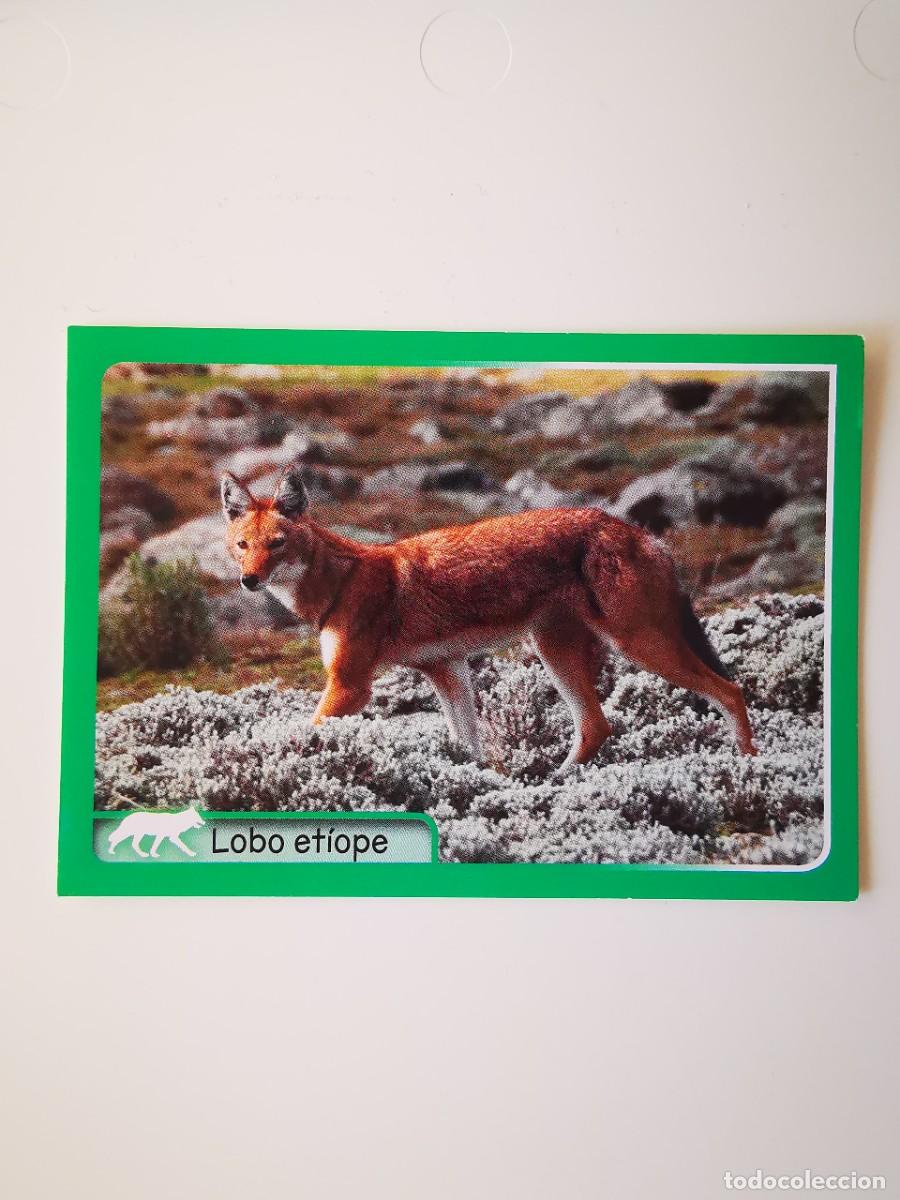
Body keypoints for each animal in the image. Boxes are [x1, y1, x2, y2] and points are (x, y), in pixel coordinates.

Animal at [221, 464, 755, 769]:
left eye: (277, 544)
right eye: (243, 546)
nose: (249, 581)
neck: (341, 582)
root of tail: (639, 532)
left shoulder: (351, 686)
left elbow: (304, 734)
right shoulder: (448, 670)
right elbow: (469, 748)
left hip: (638, 647)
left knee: (731, 691)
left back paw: (750, 772)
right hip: (556, 652)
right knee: (597, 727)